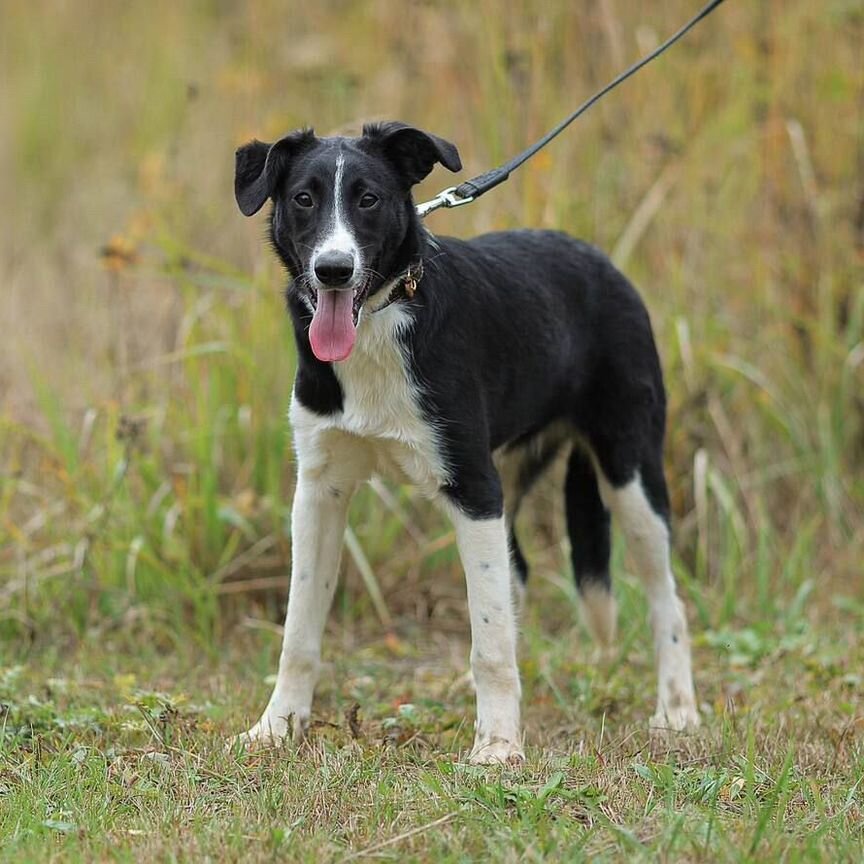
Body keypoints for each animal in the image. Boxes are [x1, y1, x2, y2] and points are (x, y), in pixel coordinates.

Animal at [233, 121, 700, 764]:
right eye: (303, 198)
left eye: (369, 199)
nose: (333, 269)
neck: (381, 321)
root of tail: (602, 261)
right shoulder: (320, 491)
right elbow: (299, 632)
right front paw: (276, 728)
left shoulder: (475, 490)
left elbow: (491, 644)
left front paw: (499, 745)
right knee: (516, 572)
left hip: (629, 471)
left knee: (665, 597)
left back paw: (677, 712)